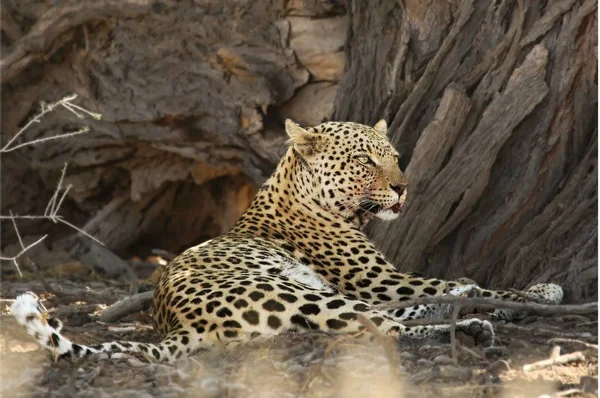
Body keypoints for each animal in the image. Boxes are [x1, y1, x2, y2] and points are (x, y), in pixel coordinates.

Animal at [11, 116, 564, 362]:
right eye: (366, 160)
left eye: (395, 157)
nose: (405, 186)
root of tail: (178, 326)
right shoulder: (380, 281)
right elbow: (459, 283)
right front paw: (536, 294)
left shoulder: (380, 284)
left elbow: (450, 284)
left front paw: (519, 292)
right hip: (304, 294)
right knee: (386, 329)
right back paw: (474, 327)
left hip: (323, 294)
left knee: (397, 320)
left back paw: (470, 317)